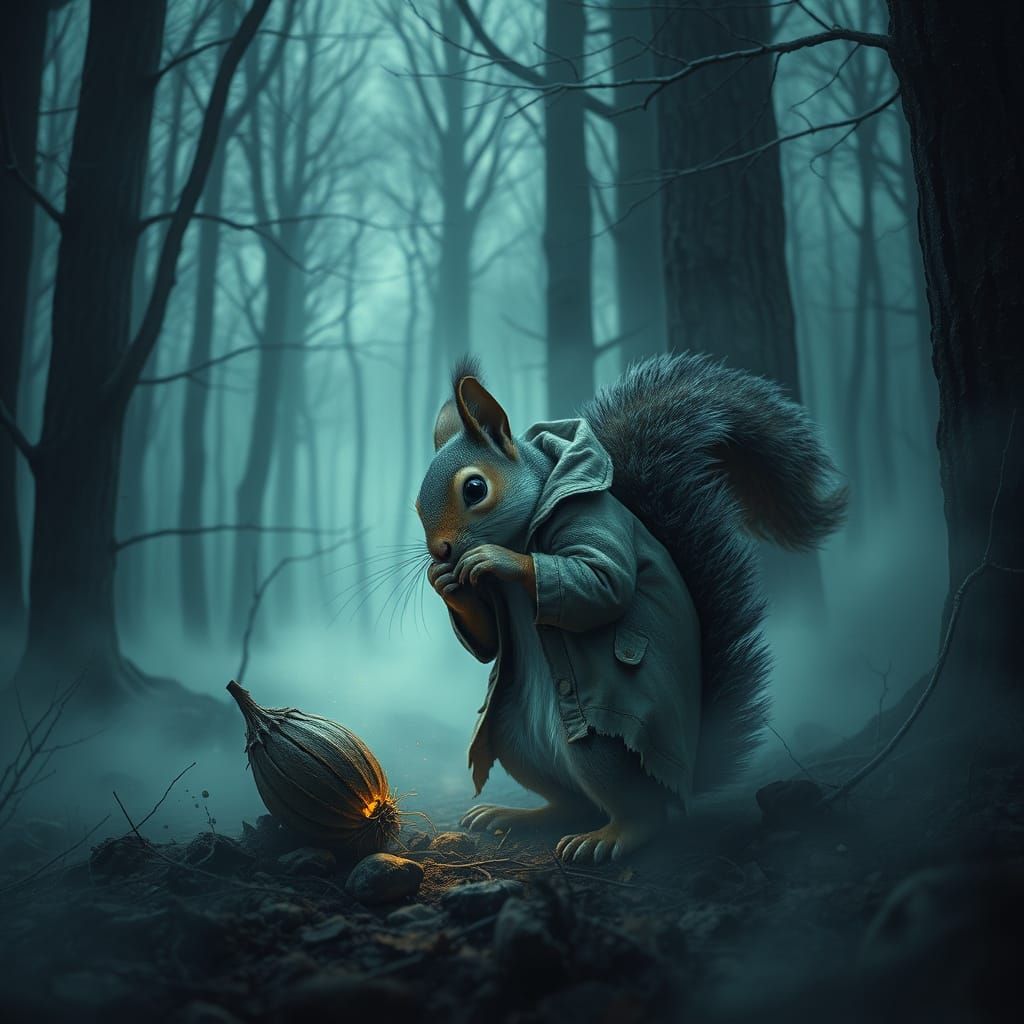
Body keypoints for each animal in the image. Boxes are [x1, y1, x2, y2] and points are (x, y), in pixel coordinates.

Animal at [416, 353, 846, 863]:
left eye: (475, 489)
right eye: (416, 505)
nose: (440, 552)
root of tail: (683, 780)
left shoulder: (591, 519)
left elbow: (603, 585)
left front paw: (497, 559)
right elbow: (488, 646)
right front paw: (447, 586)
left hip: (601, 750)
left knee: (642, 814)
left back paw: (609, 836)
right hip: (514, 736)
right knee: (571, 803)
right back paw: (518, 815)